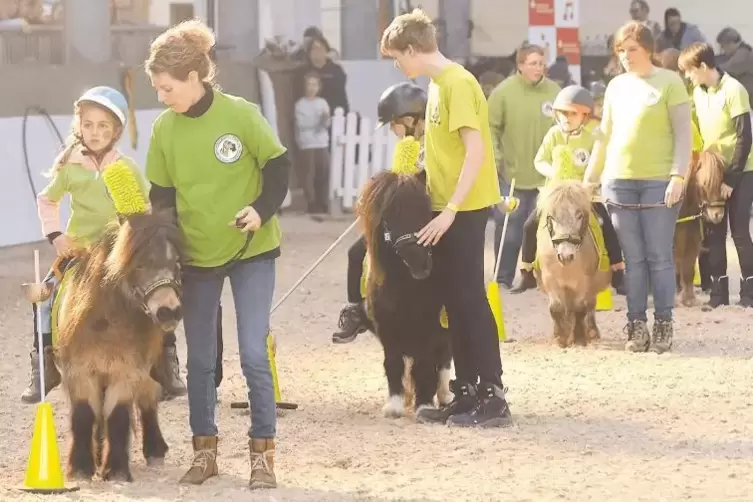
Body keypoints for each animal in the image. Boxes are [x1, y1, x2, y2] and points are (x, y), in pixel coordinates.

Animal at [55, 209, 184, 482]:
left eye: (176, 262)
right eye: (139, 264)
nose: (169, 311)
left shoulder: (126, 372)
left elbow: (118, 415)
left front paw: (115, 471)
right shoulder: (81, 371)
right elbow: (85, 413)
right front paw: (80, 468)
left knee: (148, 400)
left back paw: (155, 449)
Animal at [536, 180, 612, 350]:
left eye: (579, 215)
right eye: (551, 216)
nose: (566, 256)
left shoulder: (584, 281)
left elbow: (580, 308)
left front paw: (578, 339)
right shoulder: (550, 279)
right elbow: (555, 308)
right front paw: (559, 338)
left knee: (589, 306)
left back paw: (591, 332)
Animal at [672, 149, 724, 306]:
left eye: (721, 181)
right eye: (704, 184)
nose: (718, 214)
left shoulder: (693, 237)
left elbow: (688, 267)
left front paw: (688, 298)